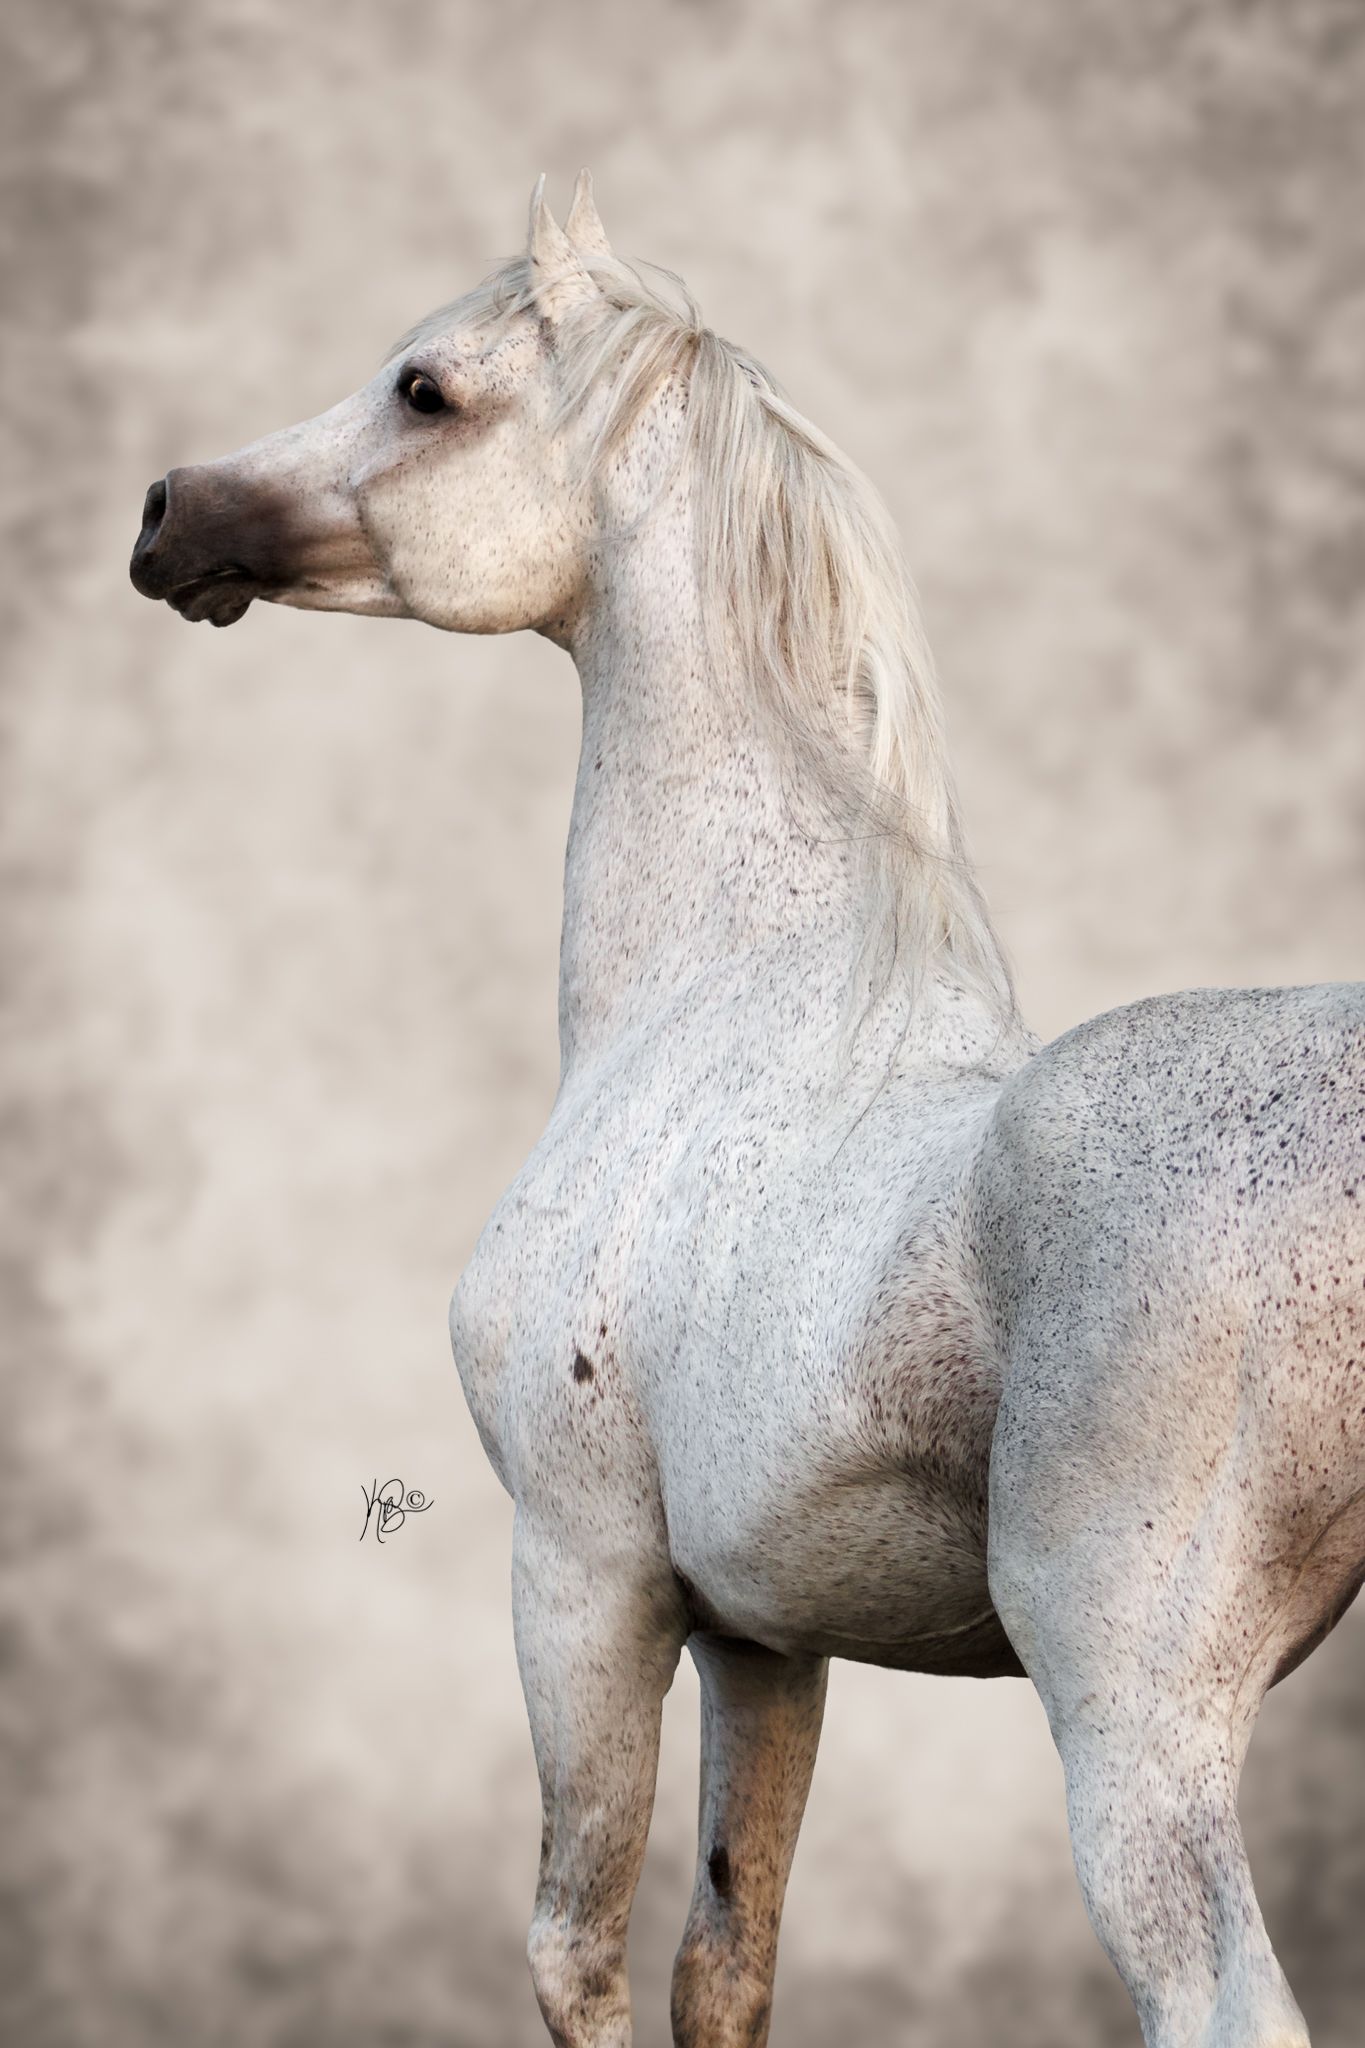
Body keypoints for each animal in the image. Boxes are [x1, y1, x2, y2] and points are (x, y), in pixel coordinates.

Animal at [129, 173, 1365, 2048]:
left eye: (425, 388)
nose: (168, 514)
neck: (718, 997)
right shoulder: (765, 1635)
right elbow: (725, 1954)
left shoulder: (584, 1578)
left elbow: (577, 1946)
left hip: (1134, 1730)